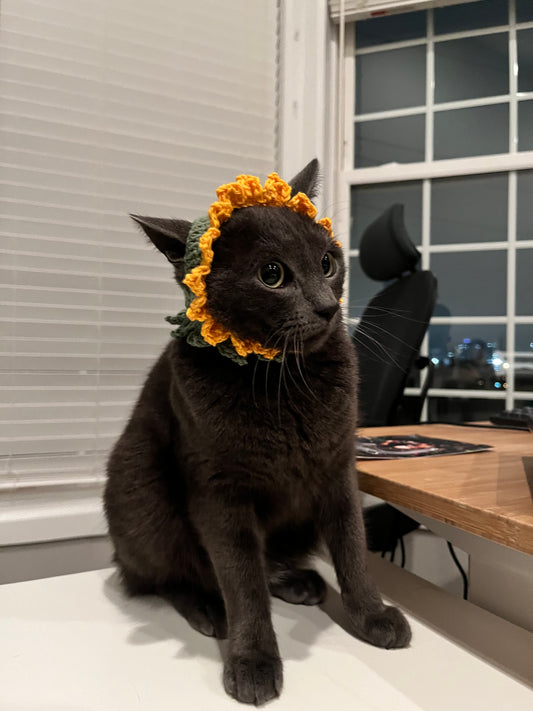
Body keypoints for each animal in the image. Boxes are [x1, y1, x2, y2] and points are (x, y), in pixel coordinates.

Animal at [104, 161, 412, 708]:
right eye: (272, 275)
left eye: (328, 262)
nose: (327, 307)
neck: (285, 381)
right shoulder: (218, 490)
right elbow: (241, 579)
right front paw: (252, 660)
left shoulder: (338, 468)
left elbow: (353, 547)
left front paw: (372, 616)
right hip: (139, 485)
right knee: (161, 576)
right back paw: (210, 609)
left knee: (266, 563)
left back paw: (297, 581)